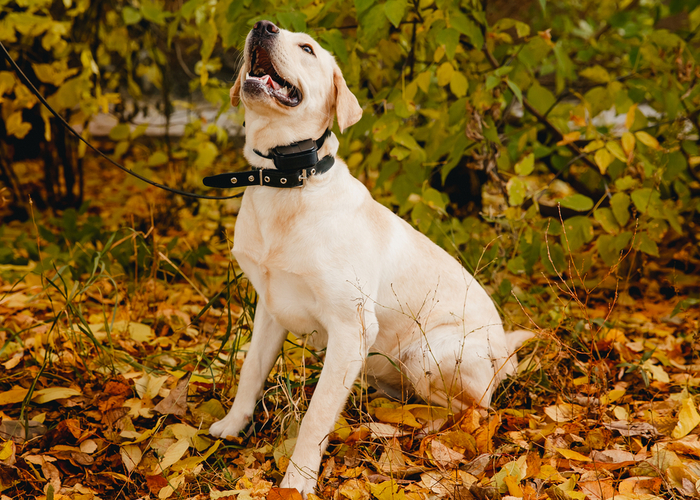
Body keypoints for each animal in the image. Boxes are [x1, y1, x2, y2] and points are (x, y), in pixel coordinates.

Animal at [208, 20, 532, 496]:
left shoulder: (351, 326)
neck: (288, 181)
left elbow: (317, 415)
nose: (262, 26)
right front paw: (233, 426)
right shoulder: (270, 309)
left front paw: (297, 480)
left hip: (425, 354)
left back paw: (419, 428)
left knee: (475, 411)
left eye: (307, 48)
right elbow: (250, 373)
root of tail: (506, 354)